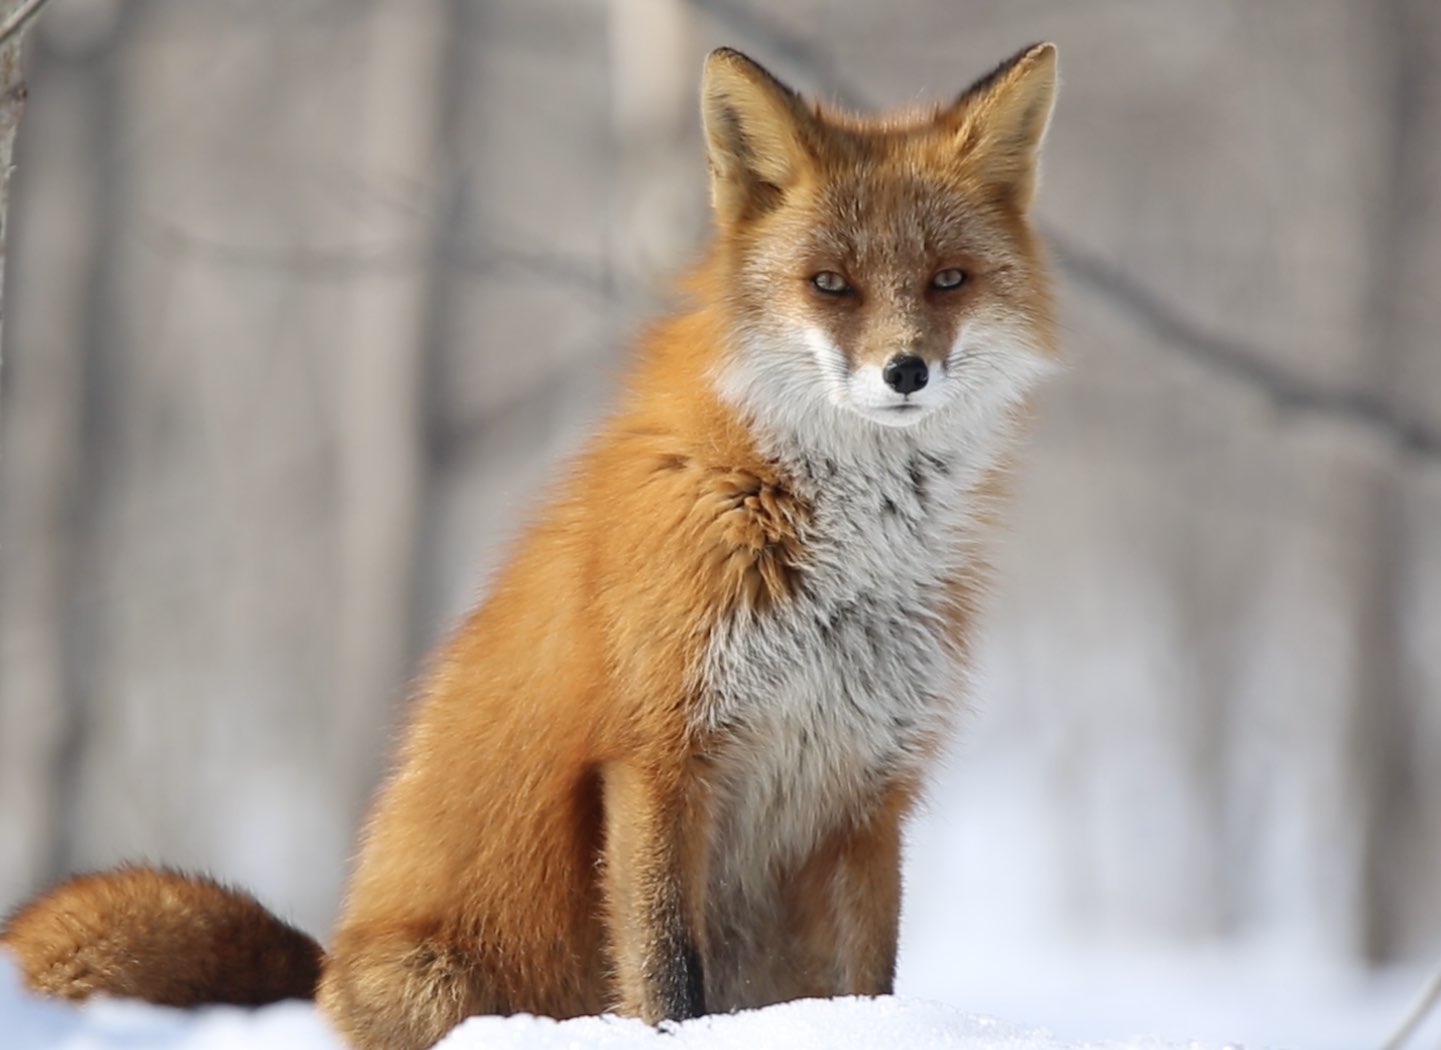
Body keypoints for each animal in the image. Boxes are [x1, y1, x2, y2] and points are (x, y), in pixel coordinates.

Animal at [2, 42, 1059, 1050]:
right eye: (830, 285)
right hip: (436, 978)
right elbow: (667, 971)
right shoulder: (656, 757)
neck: (836, 548)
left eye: (948, 280)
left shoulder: (868, 794)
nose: (904, 371)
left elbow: (870, 986)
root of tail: (322, 973)